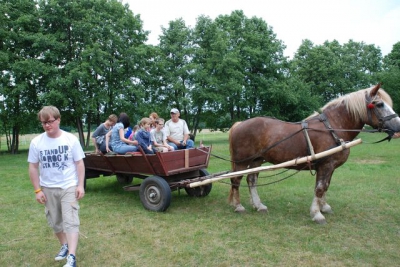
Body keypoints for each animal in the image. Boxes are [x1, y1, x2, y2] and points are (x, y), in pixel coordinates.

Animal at [228, 84, 400, 224]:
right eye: (379, 104)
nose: (398, 127)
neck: (333, 128)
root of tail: (239, 124)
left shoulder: (329, 167)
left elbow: (326, 186)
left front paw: (324, 207)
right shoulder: (326, 165)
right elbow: (320, 188)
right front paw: (317, 214)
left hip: (256, 160)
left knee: (251, 180)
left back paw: (258, 205)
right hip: (242, 161)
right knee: (236, 180)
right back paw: (238, 206)